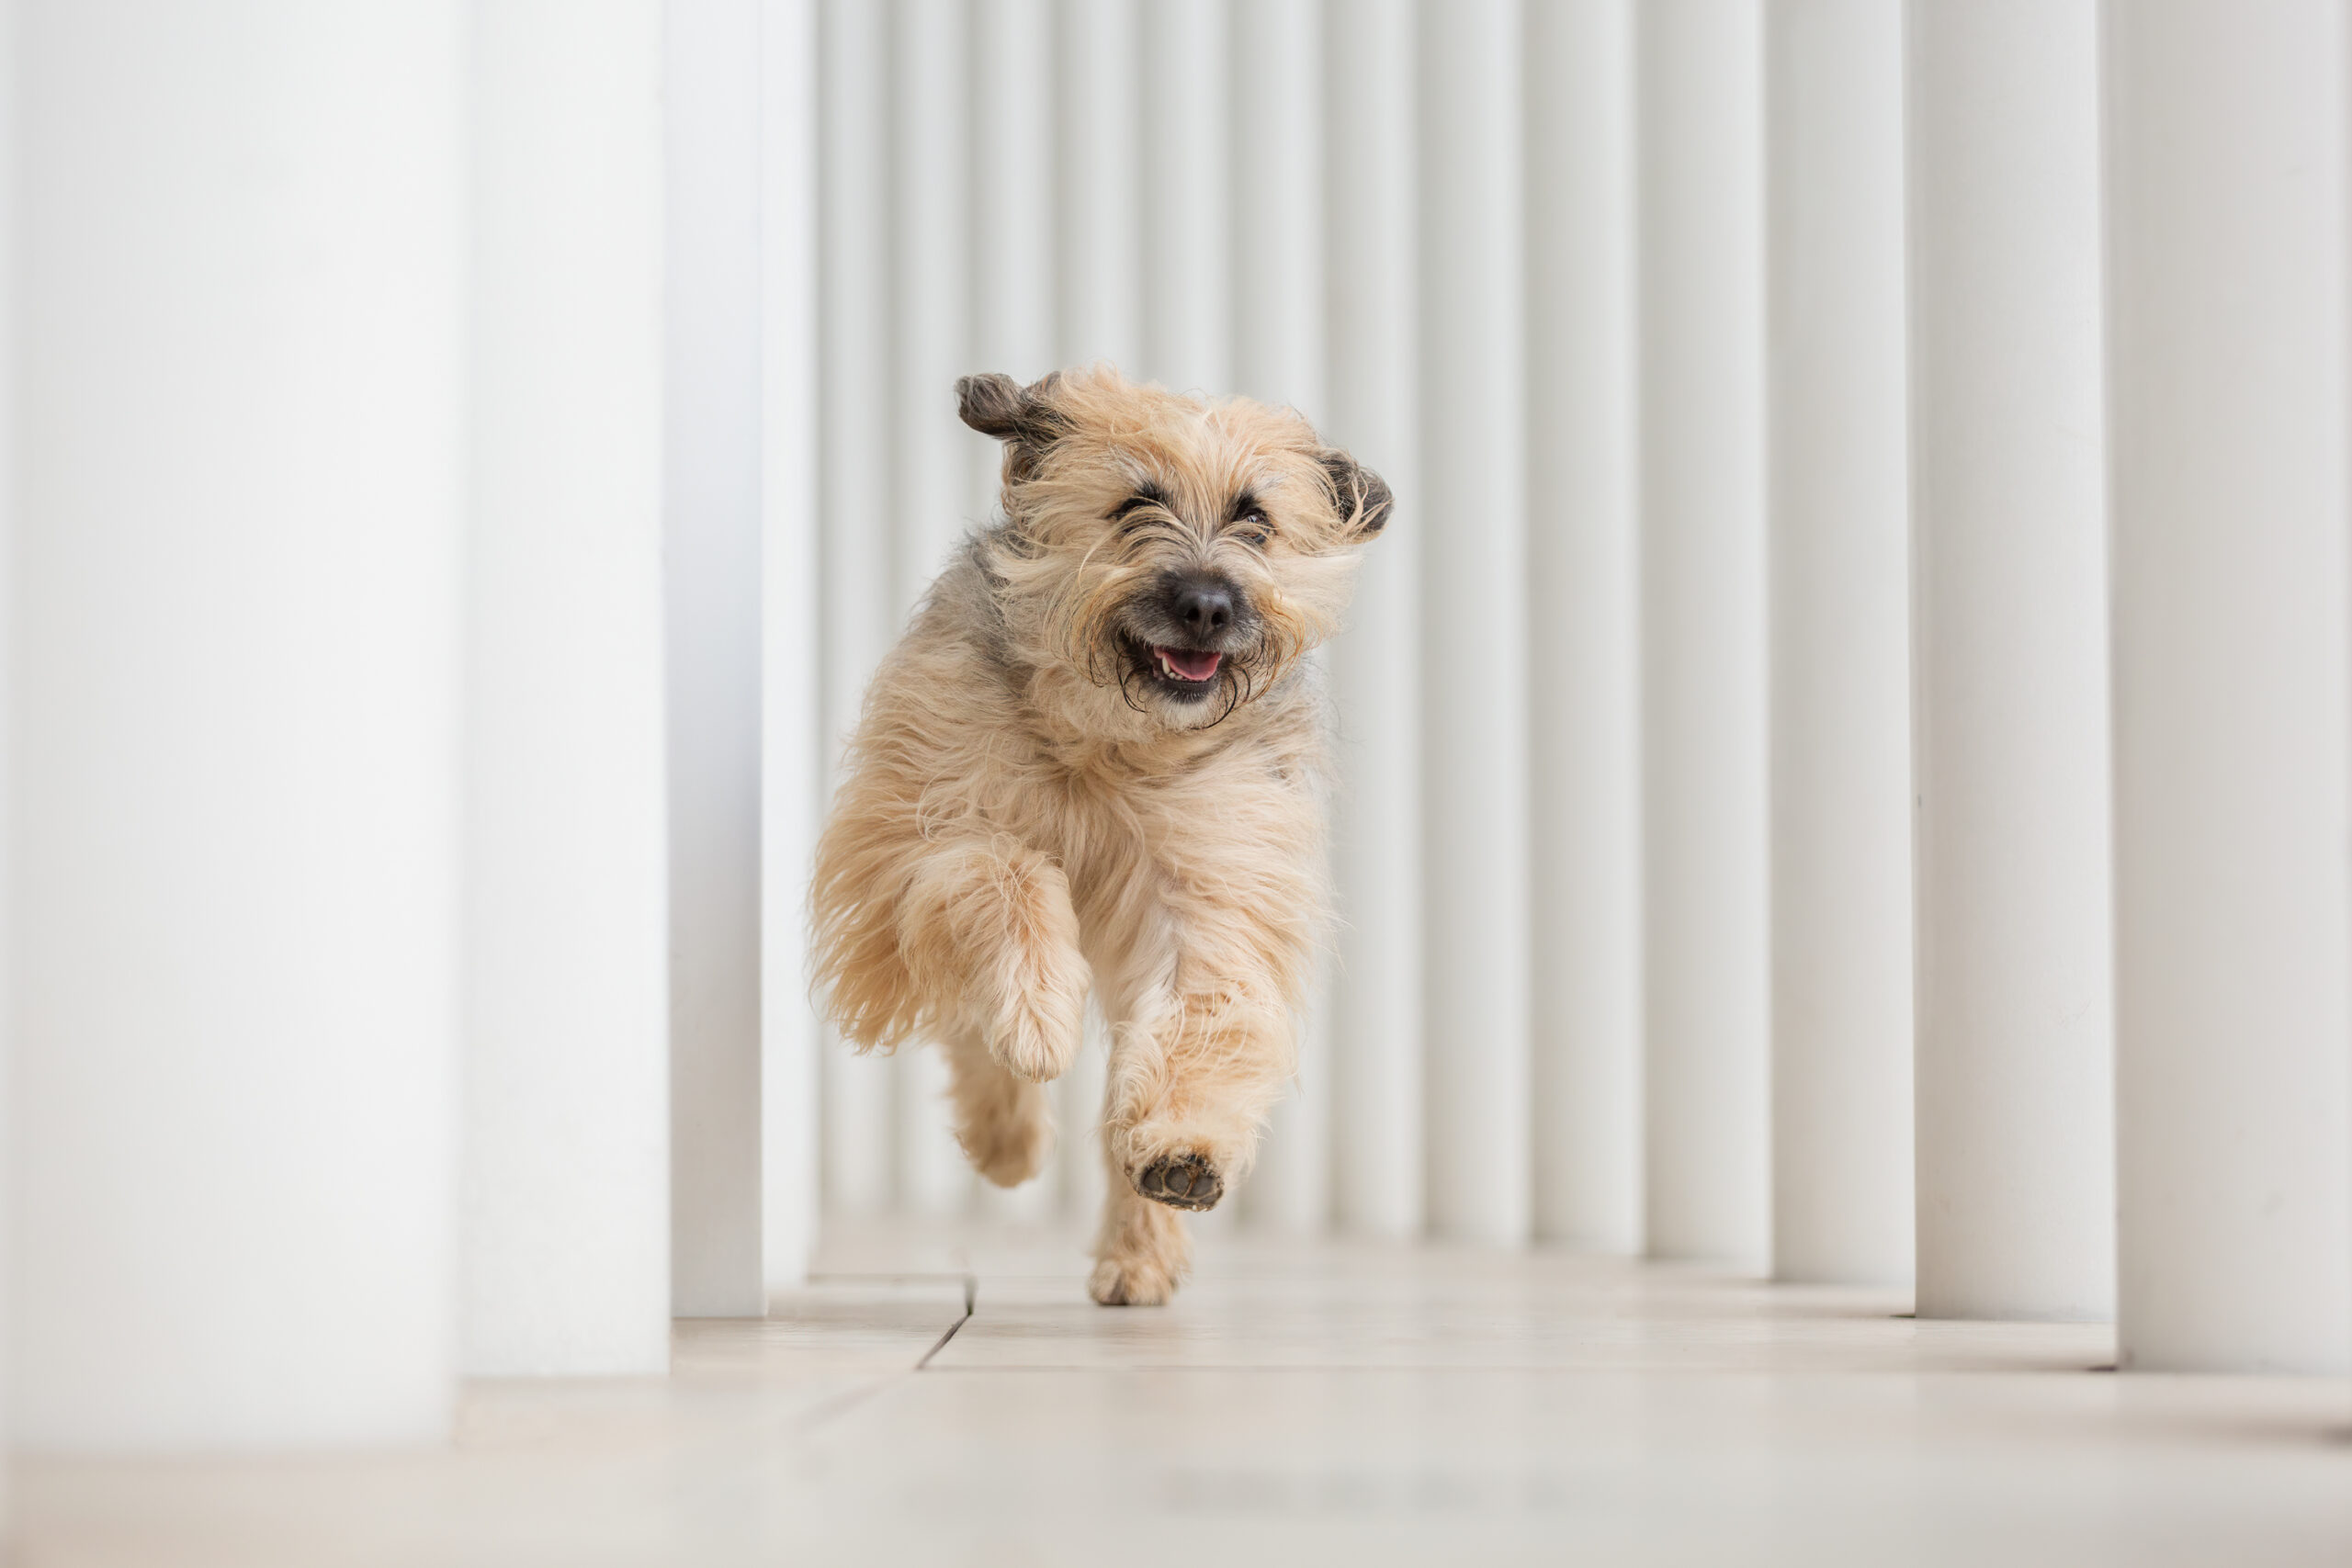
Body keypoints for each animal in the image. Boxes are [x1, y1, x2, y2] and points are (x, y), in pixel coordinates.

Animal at [818, 364, 1383, 1297]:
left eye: (1256, 520)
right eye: (1134, 504)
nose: (1206, 606)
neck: (1108, 742)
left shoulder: (1209, 886)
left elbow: (1201, 1017)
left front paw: (1183, 1154)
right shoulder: (905, 846)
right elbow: (1005, 874)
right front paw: (1036, 1016)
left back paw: (1137, 1252)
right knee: (970, 1021)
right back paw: (1006, 1135)